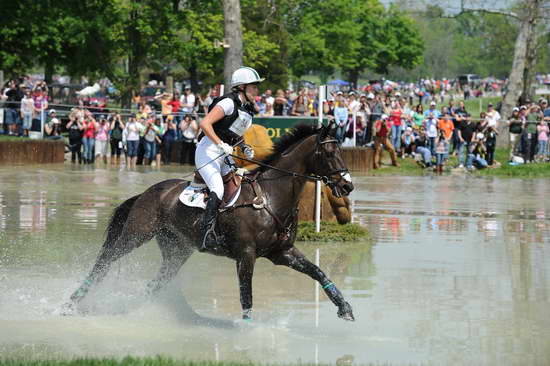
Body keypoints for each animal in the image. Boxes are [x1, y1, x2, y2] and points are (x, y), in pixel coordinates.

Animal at [67, 124, 358, 322]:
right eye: (329, 152)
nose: (347, 186)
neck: (272, 197)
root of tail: (149, 191)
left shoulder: (282, 252)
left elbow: (319, 273)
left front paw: (344, 308)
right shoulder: (246, 255)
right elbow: (246, 295)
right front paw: (248, 329)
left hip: (177, 250)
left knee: (155, 283)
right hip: (136, 234)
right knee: (105, 260)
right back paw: (72, 303)